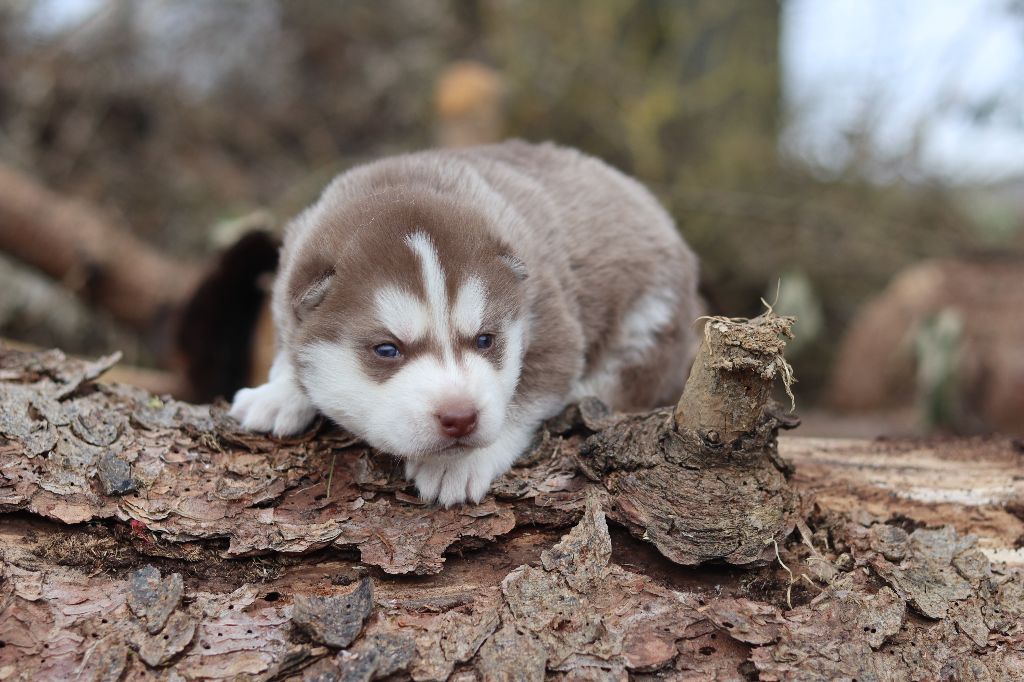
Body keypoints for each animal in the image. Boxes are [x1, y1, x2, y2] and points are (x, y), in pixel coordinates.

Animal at [228, 140, 700, 503]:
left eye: (485, 340)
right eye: (387, 349)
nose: (460, 418)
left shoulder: (553, 324)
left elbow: (522, 400)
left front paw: (460, 463)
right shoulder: (288, 283)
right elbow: (289, 345)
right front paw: (279, 393)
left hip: (652, 316)